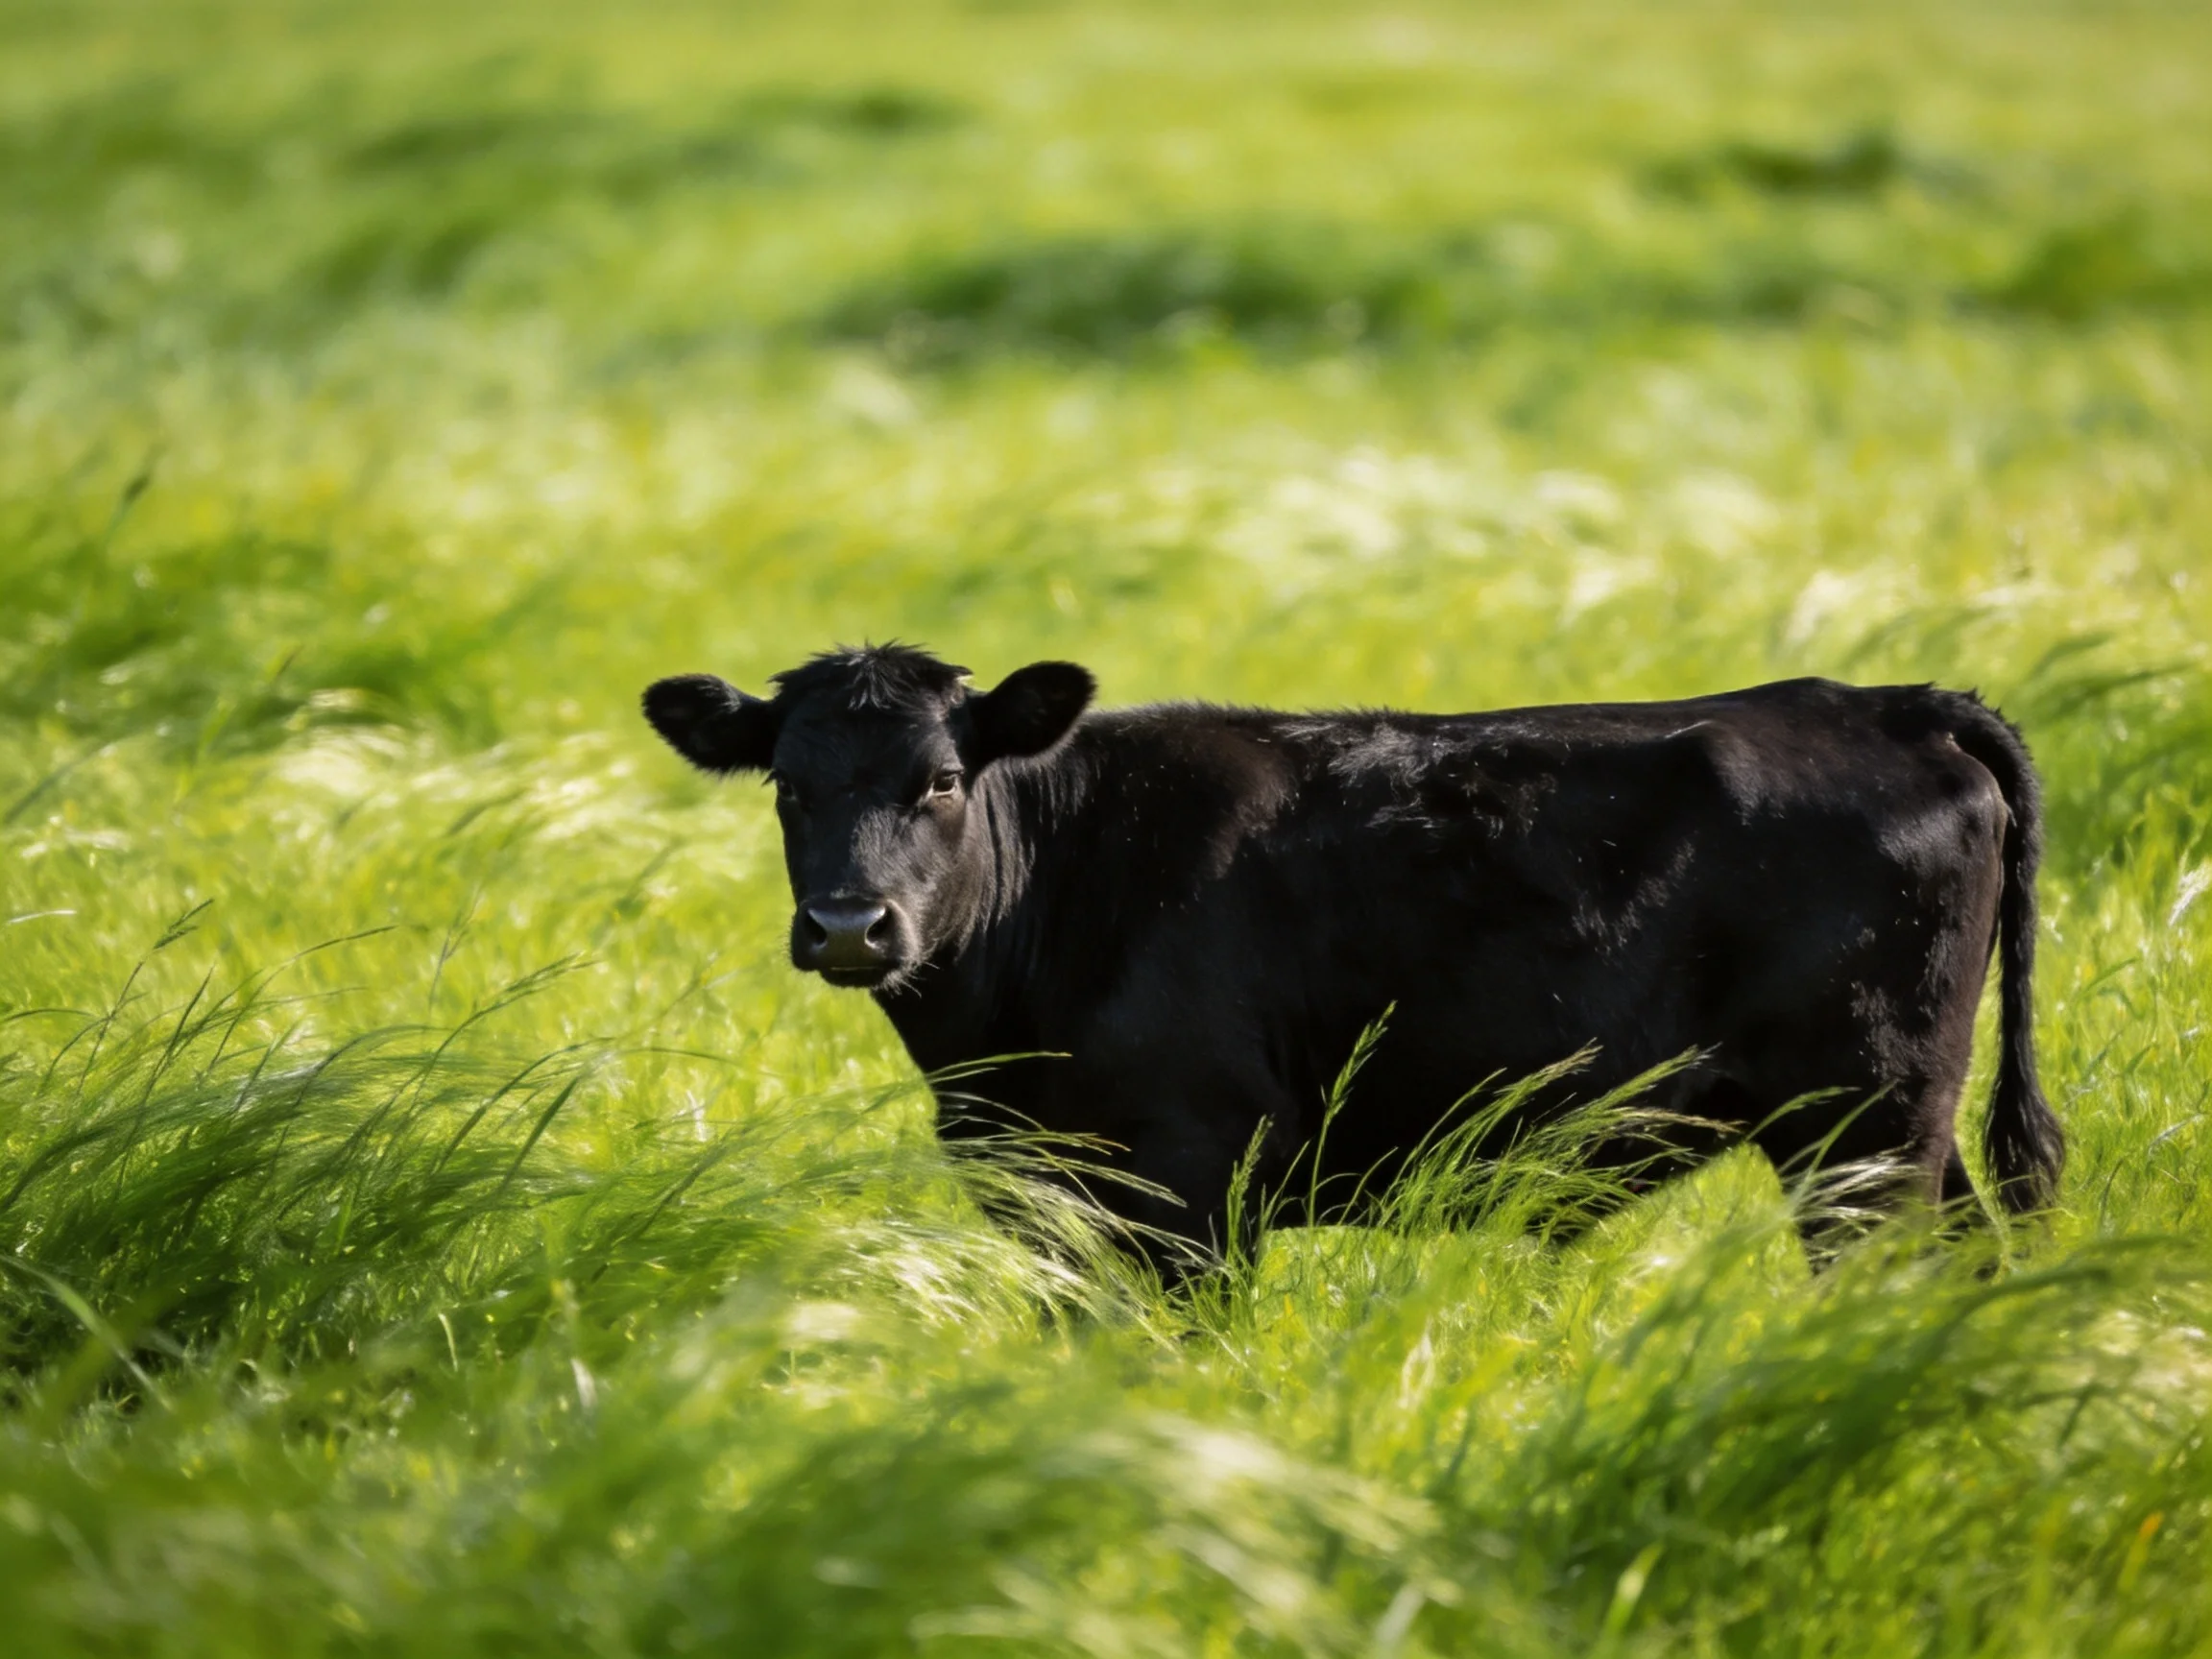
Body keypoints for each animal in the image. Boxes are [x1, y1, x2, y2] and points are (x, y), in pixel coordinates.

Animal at [643, 643, 2063, 1271]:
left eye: (940, 781)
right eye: (787, 788)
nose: (849, 926)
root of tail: (1890, 702)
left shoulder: (1193, 1177)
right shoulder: (1036, 1186)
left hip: (1863, 1121)